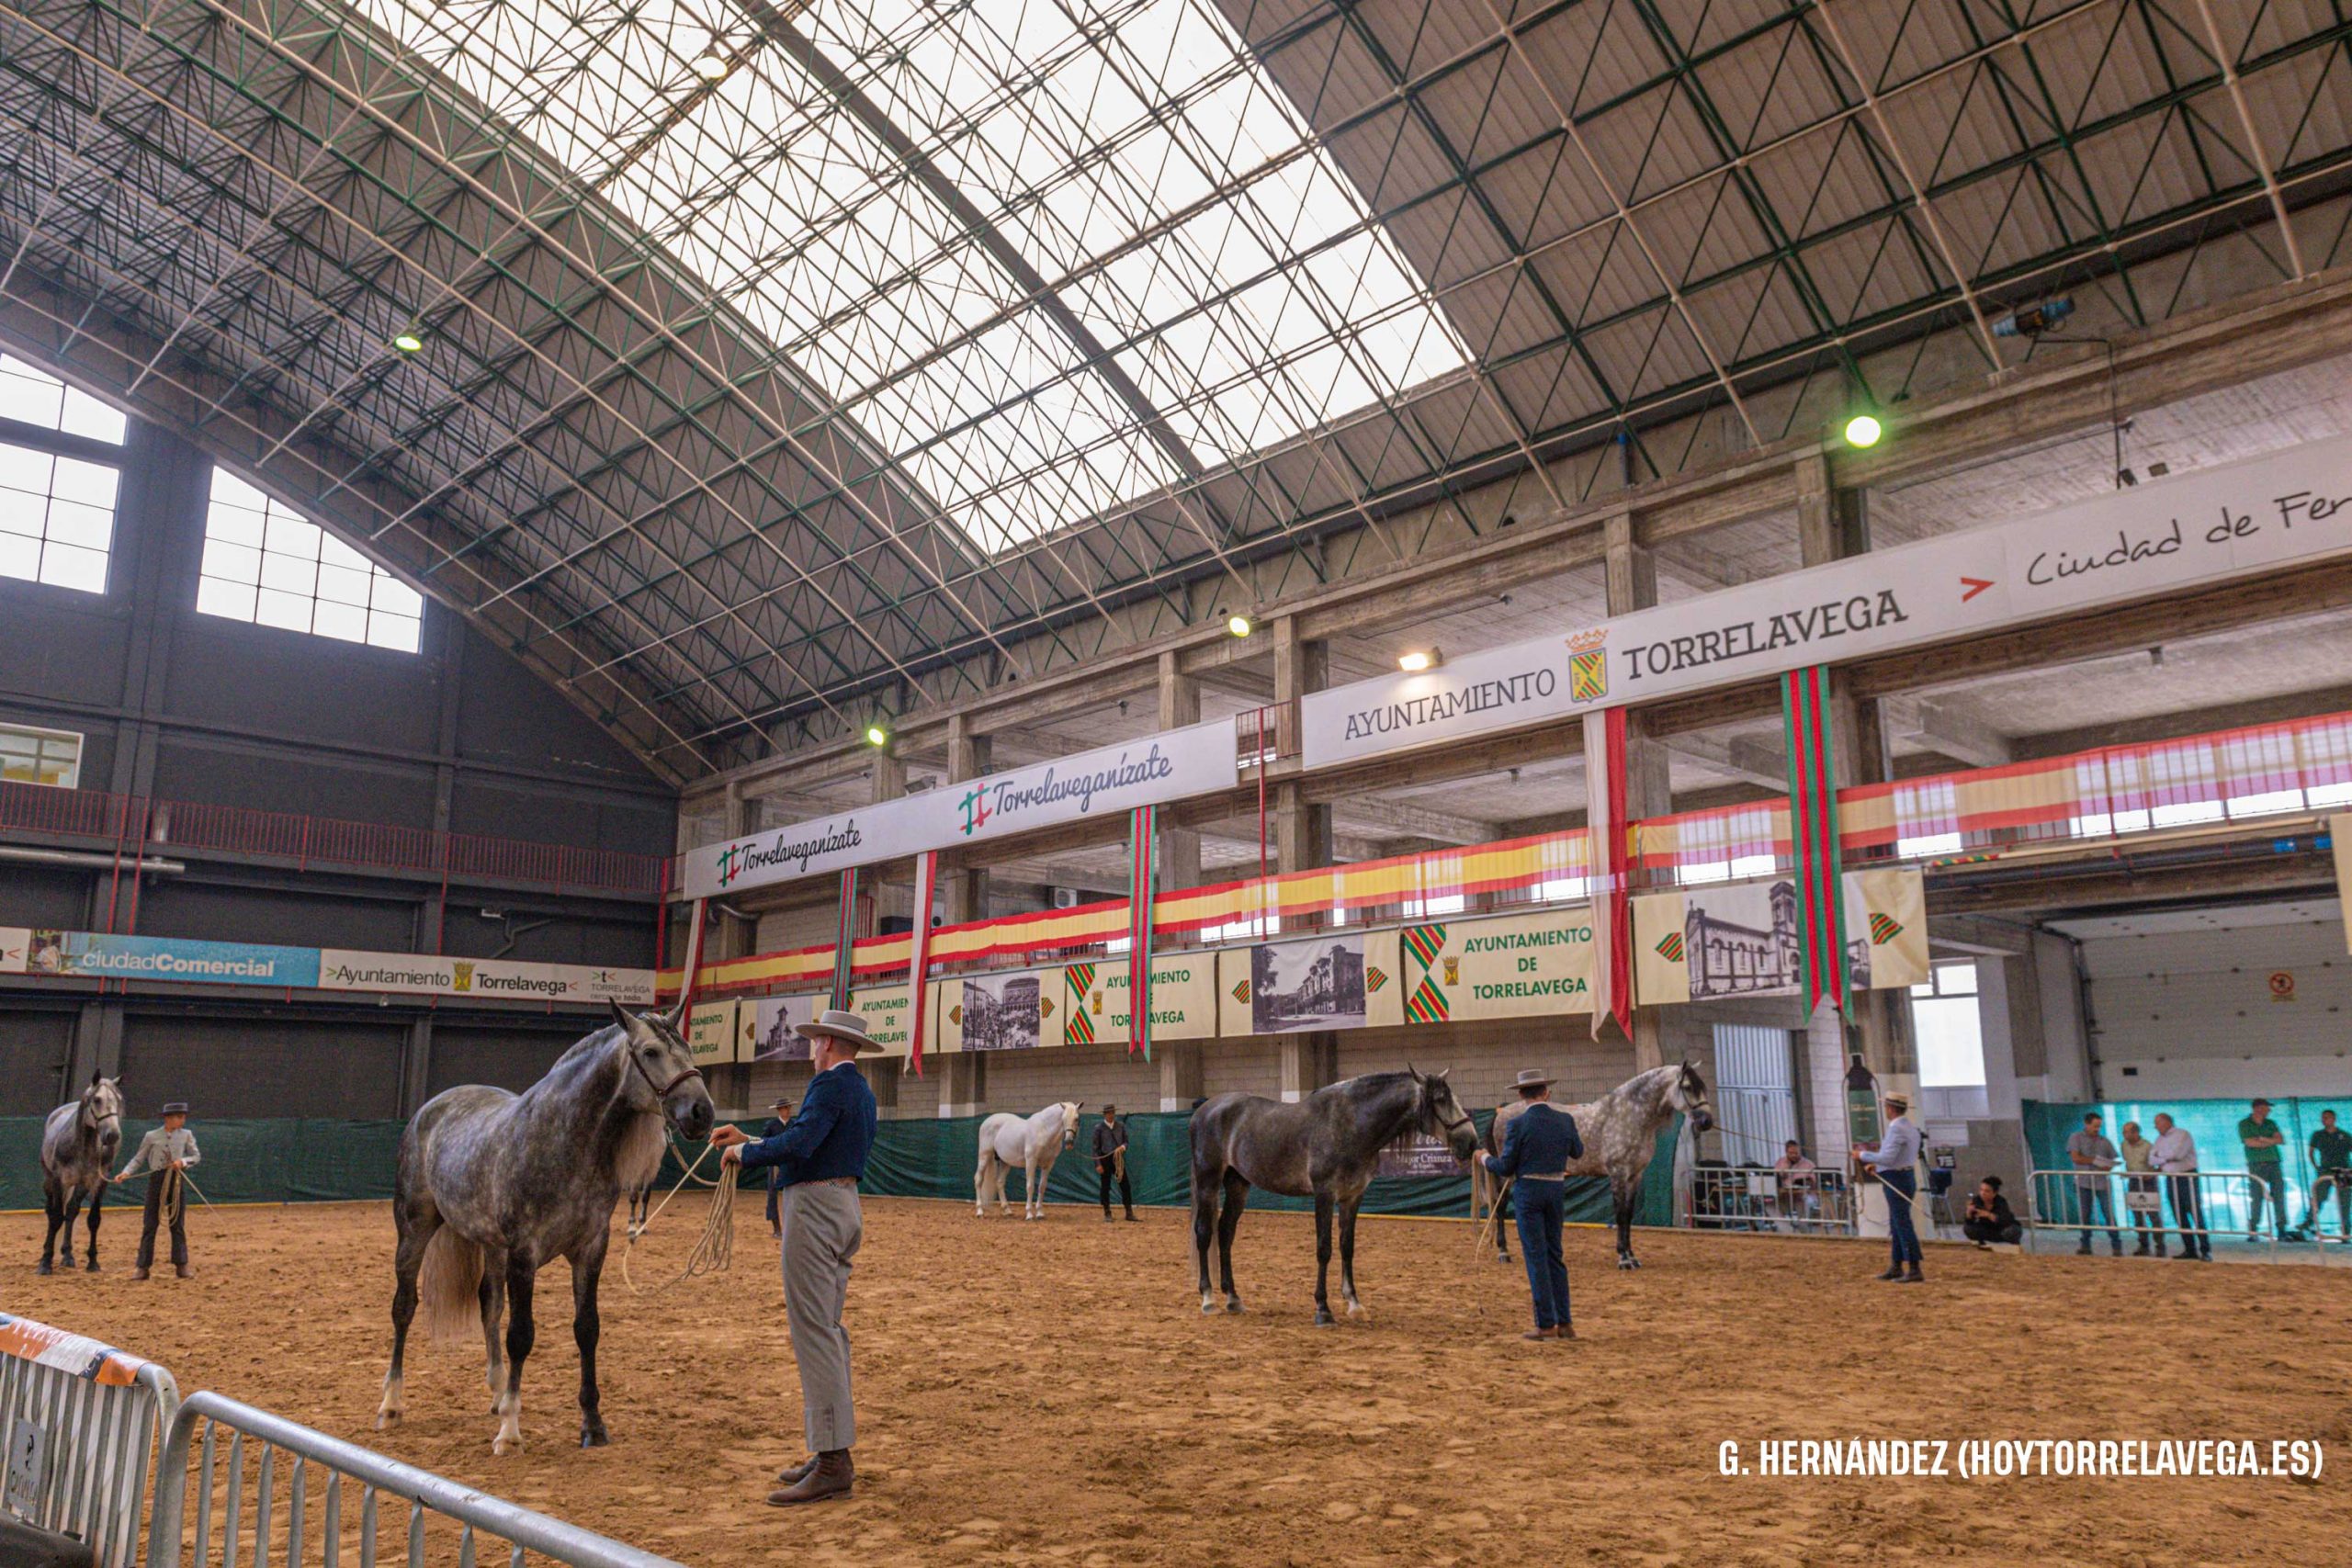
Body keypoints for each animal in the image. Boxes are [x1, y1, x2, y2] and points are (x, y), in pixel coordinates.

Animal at [38, 1073, 124, 1275]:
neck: (83, 1149)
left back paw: (68, 1255)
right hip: (50, 1181)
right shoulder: (58, 1181)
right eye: (97, 1099)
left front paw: (93, 1262)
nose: (113, 1135)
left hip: (81, 1185)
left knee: (71, 1211)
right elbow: (55, 1218)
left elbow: (93, 1219)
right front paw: (45, 1263)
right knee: (51, 1211)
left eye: (118, 1100)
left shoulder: (98, 1182)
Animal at [376, 1002, 713, 1454]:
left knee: (489, 1305)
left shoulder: (591, 1249)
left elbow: (587, 1330)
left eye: (689, 1049)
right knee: (404, 1308)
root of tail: (428, 1112)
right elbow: (521, 1335)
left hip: (491, 1245)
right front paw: (510, 1432)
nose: (702, 1113)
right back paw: (392, 1405)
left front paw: (592, 1425)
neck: (564, 1140)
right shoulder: (525, 1252)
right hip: (414, 1228)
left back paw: (497, 1393)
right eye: (650, 1052)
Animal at [975, 1101, 1082, 1220]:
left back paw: (1007, 1210)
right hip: (984, 1156)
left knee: (999, 1182)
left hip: (1005, 1162)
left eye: (1077, 1118)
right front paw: (1029, 1214)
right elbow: (1030, 1186)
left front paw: (1039, 1213)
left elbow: (1042, 1187)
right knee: (979, 1179)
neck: (1043, 1131)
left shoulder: (1048, 1164)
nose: (1069, 1142)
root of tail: (987, 1120)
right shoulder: (1031, 1162)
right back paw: (980, 1211)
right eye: (1063, 1118)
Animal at [1191, 1067, 1480, 1325]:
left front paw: (1354, 1304)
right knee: (1204, 1232)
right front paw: (1323, 1309)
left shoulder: (1353, 1197)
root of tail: (1204, 1110)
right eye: (1439, 1100)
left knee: (1225, 1233)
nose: (1471, 1142)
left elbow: (1347, 1247)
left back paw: (1233, 1297)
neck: (1350, 1125)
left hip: (1238, 1184)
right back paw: (1208, 1299)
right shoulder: (1324, 1195)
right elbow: (1324, 1249)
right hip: (1208, 1181)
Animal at [1471, 1061, 1714, 1271]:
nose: (1707, 1122)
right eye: (1688, 1086)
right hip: (1506, 1175)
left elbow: (1628, 1215)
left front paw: (1632, 1257)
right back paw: (1504, 1252)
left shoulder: (1635, 1176)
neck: (1628, 1117)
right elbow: (1619, 1215)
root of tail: (1501, 1111)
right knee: (1501, 1207)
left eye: (1703, 1086)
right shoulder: (1617, 1174)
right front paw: (1623, 1259)